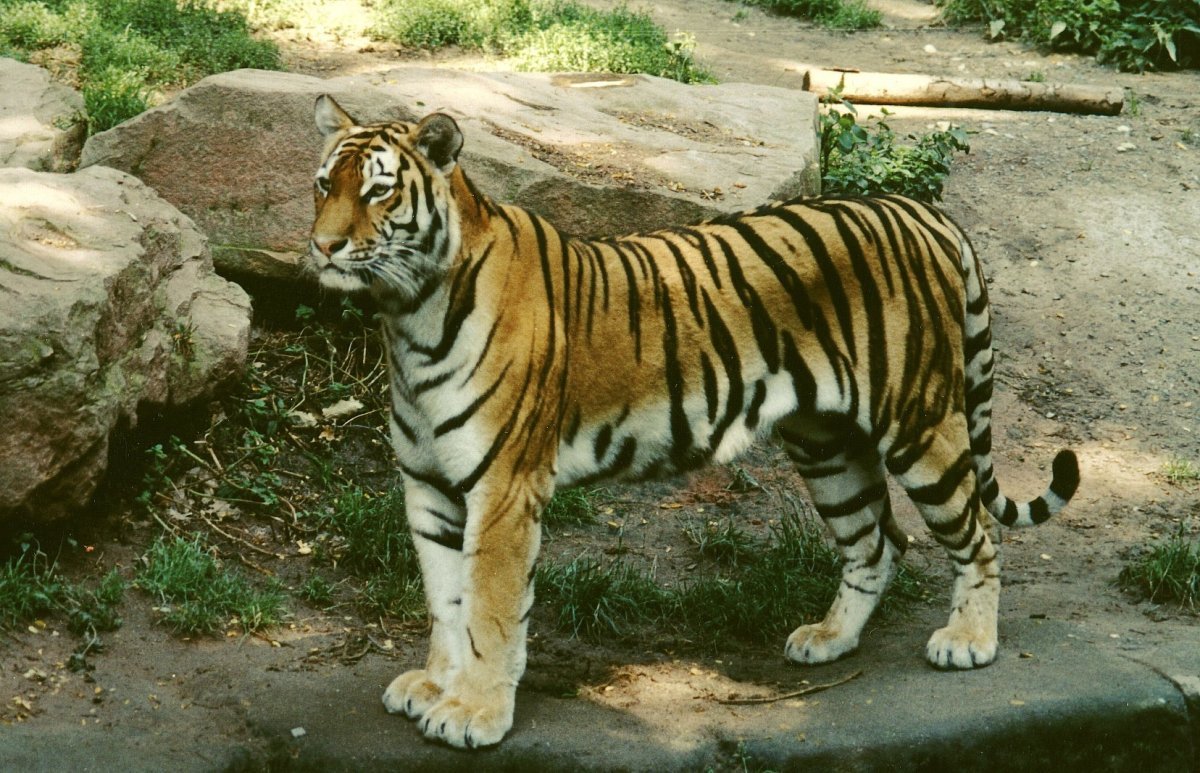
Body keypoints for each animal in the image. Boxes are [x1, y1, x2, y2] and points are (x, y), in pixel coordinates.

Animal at [306, 94, 1080, 749]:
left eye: (377, 191)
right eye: (323, 186)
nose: (323, 247)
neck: (408, 315)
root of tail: (921, 212)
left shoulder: (502, 489)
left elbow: (490, 610)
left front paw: (473, 712)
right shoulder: (429, 487)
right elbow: (446, 599)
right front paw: (436, 685)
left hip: (919, 423)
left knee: (977, 535)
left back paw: (969, 642)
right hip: (826, 444)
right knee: (877, 539)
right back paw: (829, 638)